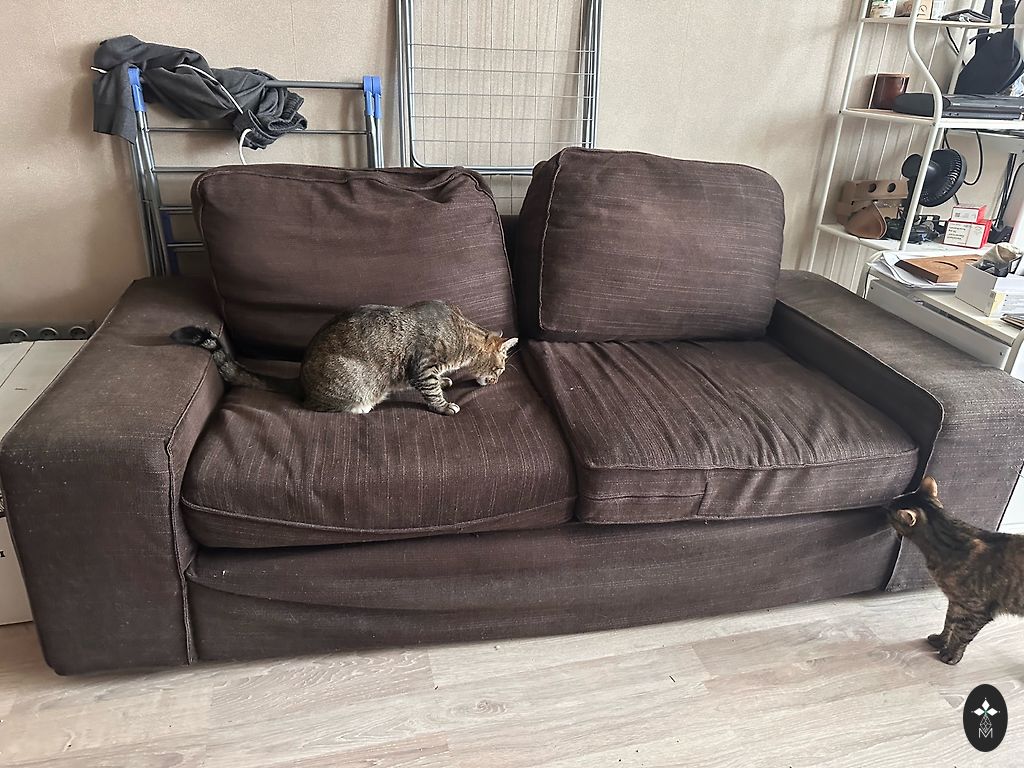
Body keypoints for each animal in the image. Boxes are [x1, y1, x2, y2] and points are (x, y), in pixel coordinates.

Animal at [171, 300, 517, 416]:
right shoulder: (422, 364)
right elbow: (431, 391)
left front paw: (446, 382)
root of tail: (300, 379)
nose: (497, 379)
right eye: (501, 368)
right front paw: (444, 404)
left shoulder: (418, 371)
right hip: (352, 383)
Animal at [888, 476, 1024, 664]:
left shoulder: (976, 610)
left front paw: (951, 655)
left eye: (888, 512)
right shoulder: (956, 602)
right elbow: (949, 623)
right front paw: (940, 641)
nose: (882, 508)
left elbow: (961, 634)